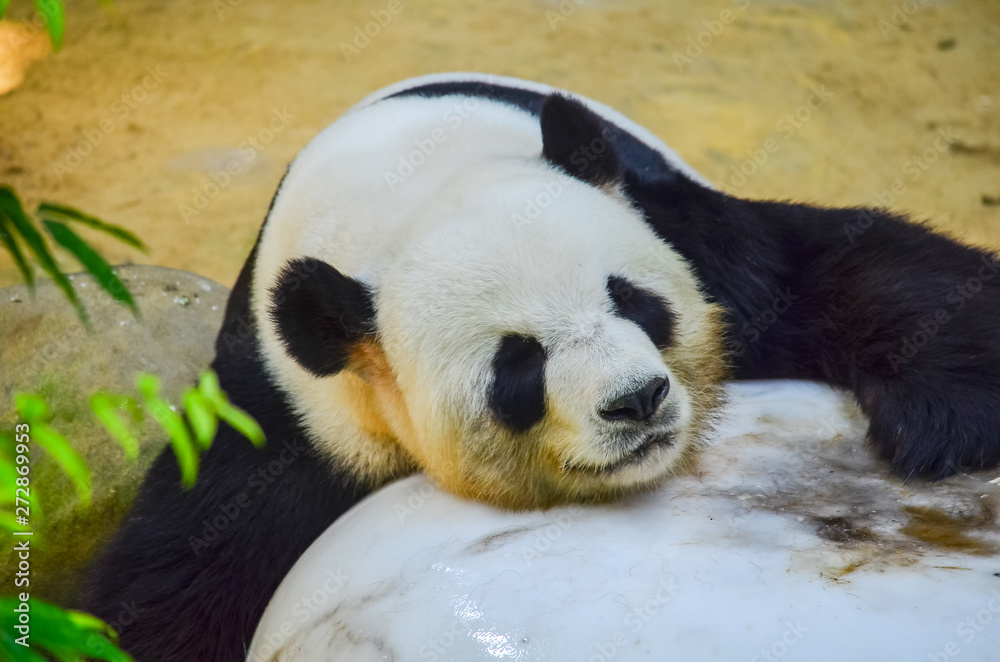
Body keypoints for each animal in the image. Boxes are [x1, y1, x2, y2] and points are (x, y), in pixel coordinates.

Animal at [80, 73, 1000, 662]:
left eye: (633, 302)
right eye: (517, 364)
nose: (638, 400)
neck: (414, 188)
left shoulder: (681, 230)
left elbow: (837, 267)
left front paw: (947, 419)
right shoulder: (296, 409)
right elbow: (185, 568)